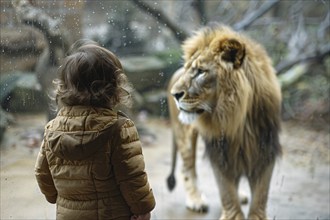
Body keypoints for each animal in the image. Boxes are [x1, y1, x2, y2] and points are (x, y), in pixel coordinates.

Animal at [166, 24, 282, 219]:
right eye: (189, 69)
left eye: (200, 72)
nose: (174, 94)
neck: (238, 119)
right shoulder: (219, 150)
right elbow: (226, 190)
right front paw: (232, 215)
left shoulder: (266, 145)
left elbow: (261, 192)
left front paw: (256, 215)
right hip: (184, 134)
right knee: (187, 168)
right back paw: (196, 200)